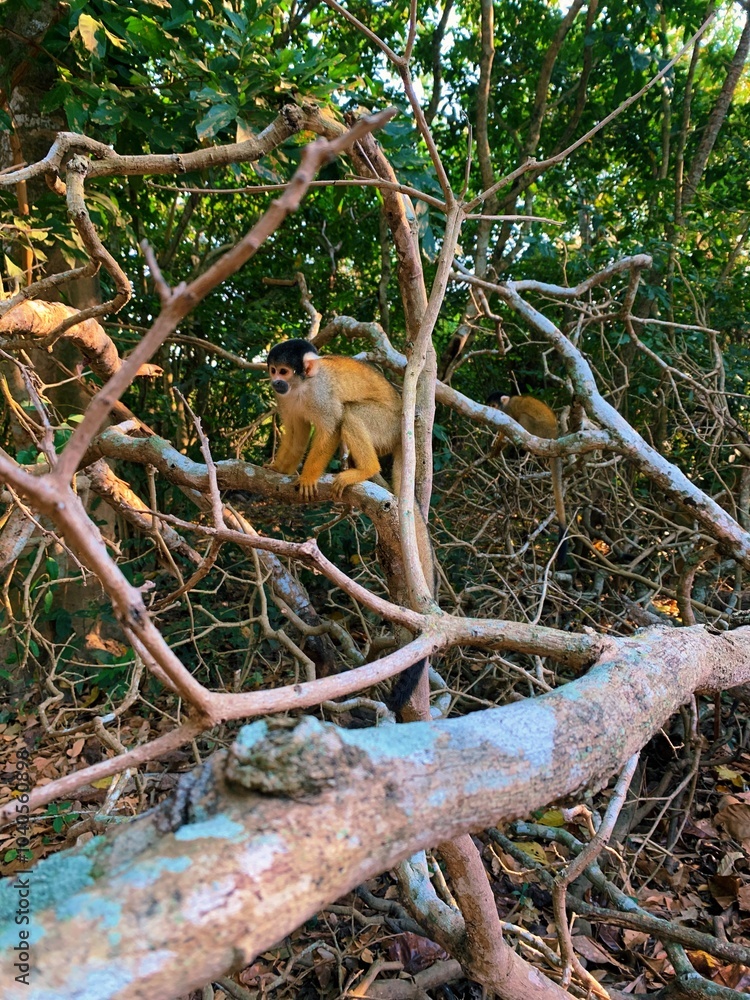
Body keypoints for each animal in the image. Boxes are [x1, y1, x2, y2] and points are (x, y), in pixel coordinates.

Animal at [266, 338, 434, 712]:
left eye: (284, 371)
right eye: (272, 371)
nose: (275, 382)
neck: (301, 387)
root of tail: (403, 433)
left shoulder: (320, 394)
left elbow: (330, 427)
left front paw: (308, 477)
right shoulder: (288, 400)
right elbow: (297, 430)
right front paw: (278, 470)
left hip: (386, 425)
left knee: (352, 413)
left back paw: (364, 469)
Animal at [486, 392, 568, 567]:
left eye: (494, 406)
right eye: (489, 406)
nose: (491, 410)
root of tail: (553, 434)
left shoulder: (508, 412)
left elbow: (508, 428)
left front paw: (498, 445)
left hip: (537, 429)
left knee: (522, 420)